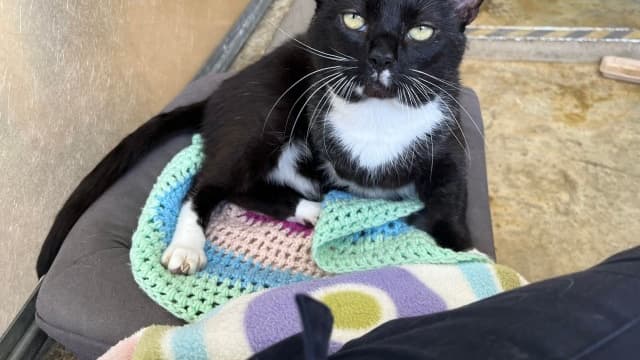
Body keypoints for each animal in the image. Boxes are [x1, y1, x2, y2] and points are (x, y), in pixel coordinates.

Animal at [36, 0, 484, 278]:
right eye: (354, 19)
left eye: (421, 31)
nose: (381, 58)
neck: (381, 115)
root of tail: (217, 94)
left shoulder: (449, 142)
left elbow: (451, 197)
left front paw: (461, 251)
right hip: (262, 118)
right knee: (209, 183)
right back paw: (187, 246)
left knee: (244, 189)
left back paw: (312, 211)